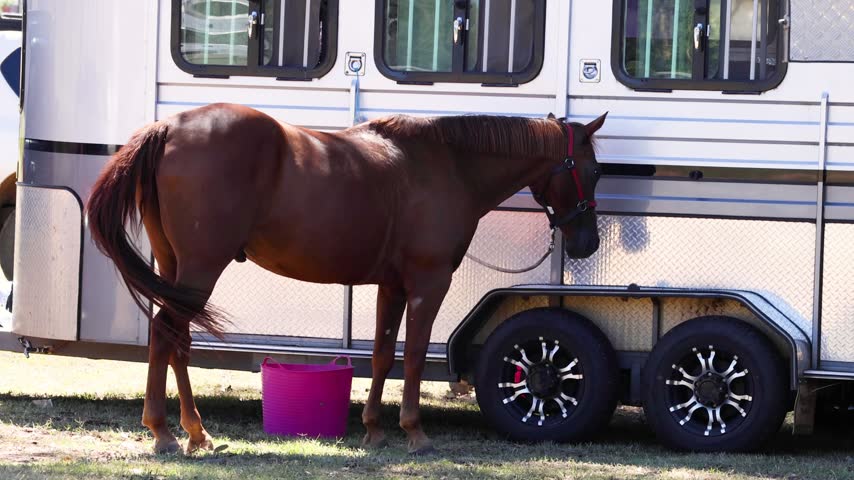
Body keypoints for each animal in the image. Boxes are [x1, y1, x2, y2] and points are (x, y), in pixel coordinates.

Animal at [85, 103, 606, 455]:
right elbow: (414, 356)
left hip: (174, 269)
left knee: (176, 341)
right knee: (164, 335)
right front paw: (415, 431)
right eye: (594, 169)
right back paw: (164, 433)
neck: (446, 164)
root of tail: (169, 127)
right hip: (199, 269)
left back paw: (196, 432)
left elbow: (382, 355)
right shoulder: (428, 283)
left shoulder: (392, 285)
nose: (588, 243)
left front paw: (374, 427)